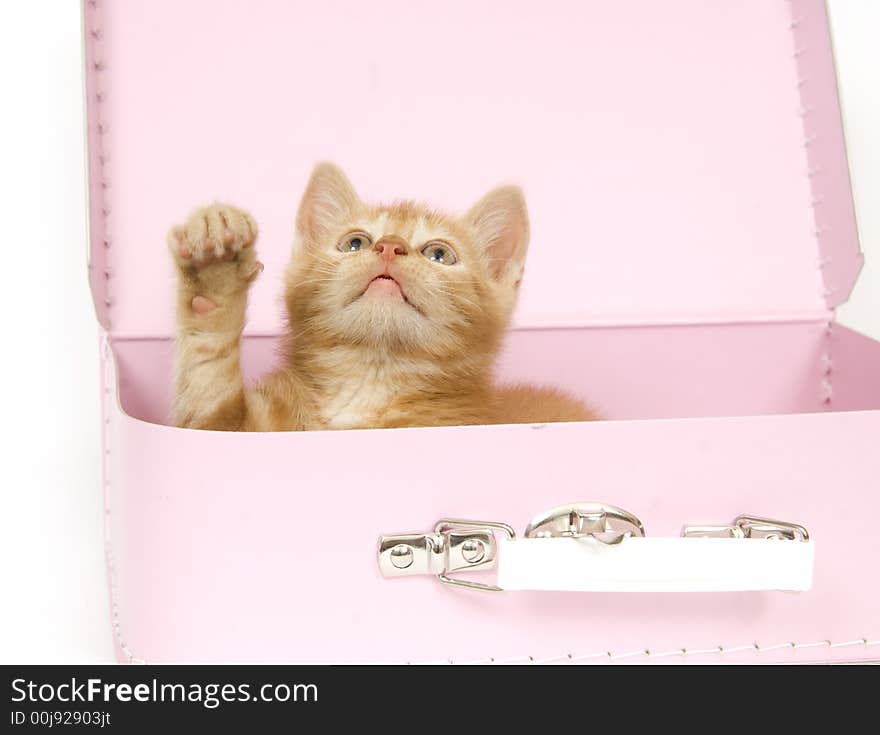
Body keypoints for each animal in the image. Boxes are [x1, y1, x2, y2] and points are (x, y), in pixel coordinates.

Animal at [168, 163, 596, 428]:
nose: (390, 246)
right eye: (355, 243)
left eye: (439, 254)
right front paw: (215, 275)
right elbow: (207, 388)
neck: (368, 385)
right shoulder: (221, 426)